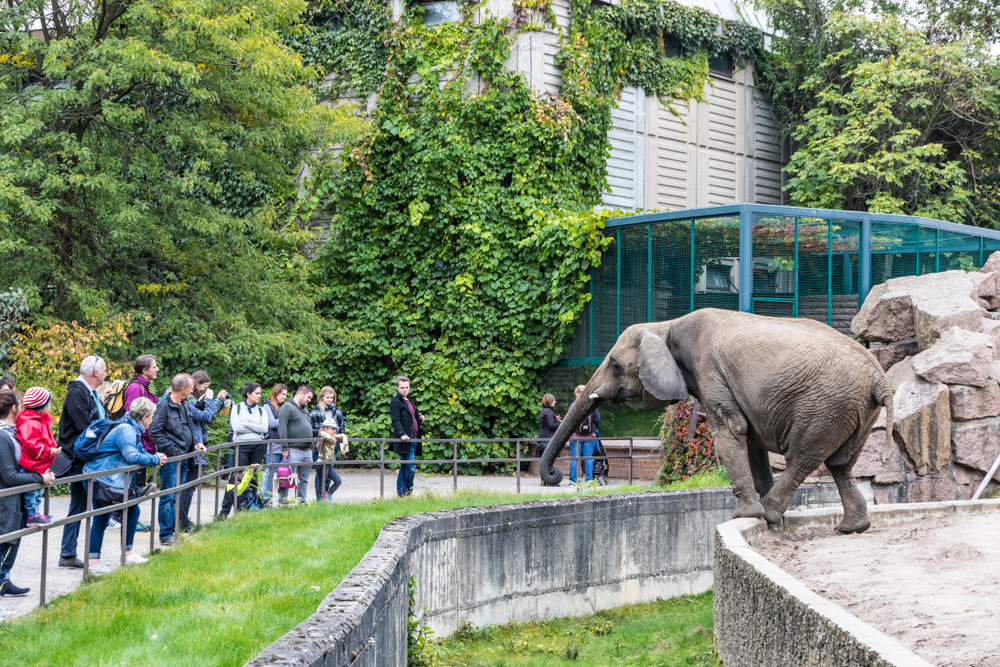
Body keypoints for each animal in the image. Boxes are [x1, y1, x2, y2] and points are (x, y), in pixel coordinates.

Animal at [544, 310, 896, 536]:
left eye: (616, 366)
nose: (552, 476)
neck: (666, 325)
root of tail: (880, 379)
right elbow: (751, 441)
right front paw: (760, 518)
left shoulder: (708, 370)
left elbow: (731, 429)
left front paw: (747, 515)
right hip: (854, 411)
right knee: (841, 464)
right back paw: (851, 527)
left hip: (825, 406)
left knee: (804, 457)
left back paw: (771, 512)